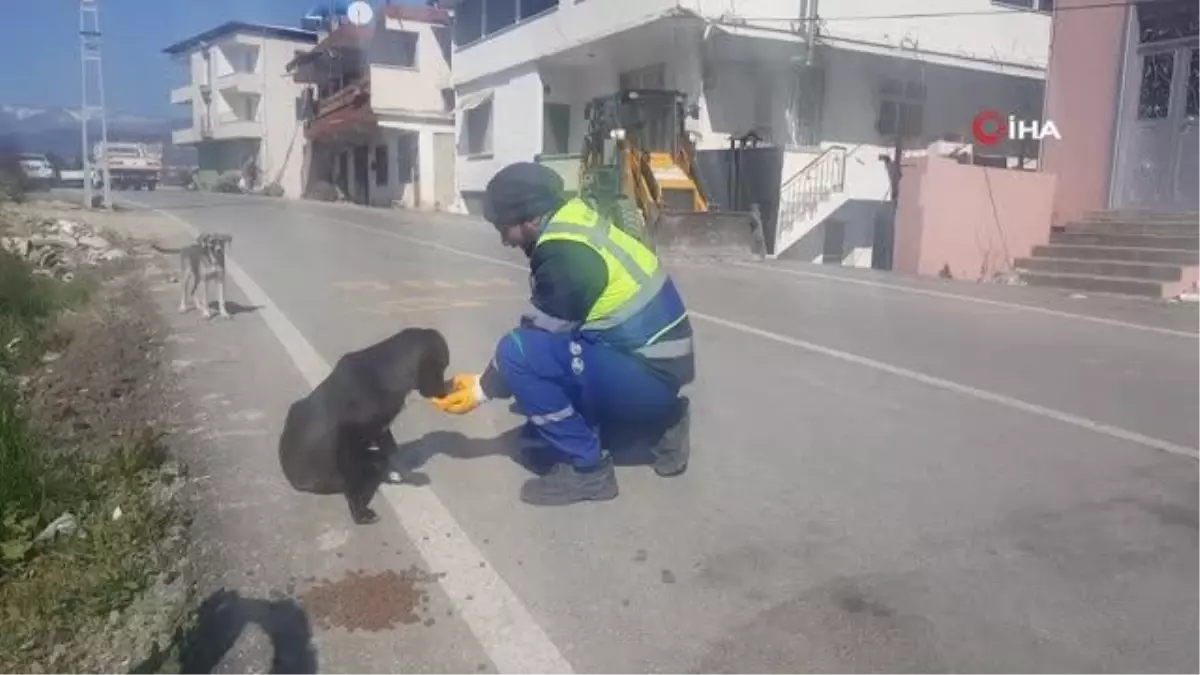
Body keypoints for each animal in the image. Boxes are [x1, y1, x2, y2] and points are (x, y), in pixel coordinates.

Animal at [278, 324, 451, 521]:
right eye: (443, 365)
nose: (446, 389)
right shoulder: (347, 434)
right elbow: (353, 479)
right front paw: (359, 512)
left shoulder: (380, 428)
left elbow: (390, 448)